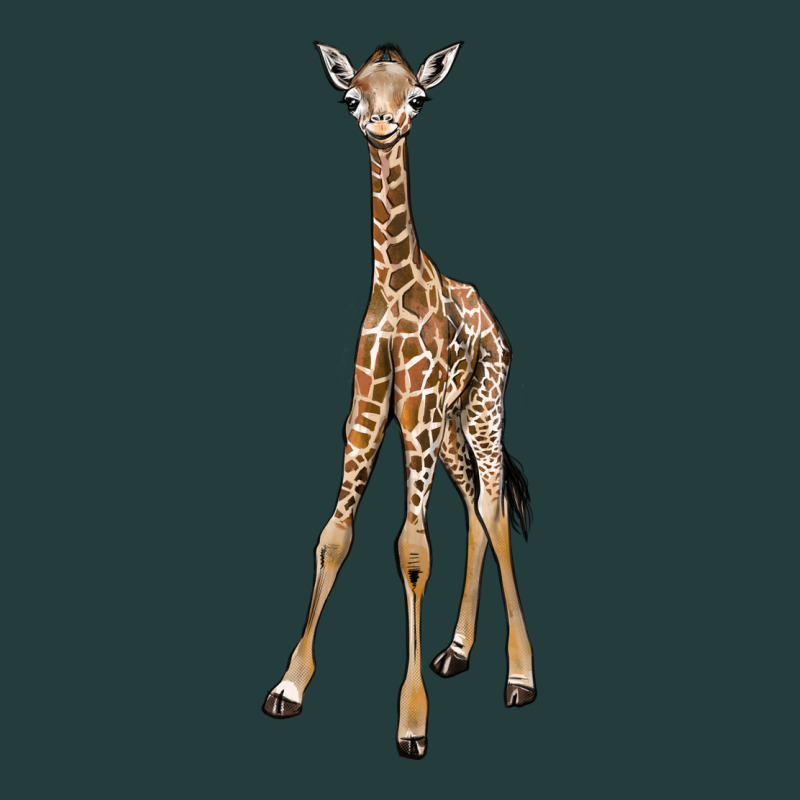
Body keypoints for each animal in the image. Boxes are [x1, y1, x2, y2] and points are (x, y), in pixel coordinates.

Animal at [263, 42, 536, 760]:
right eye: (351, 96)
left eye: (416, 96)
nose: (382, 127)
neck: (392, 288)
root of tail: (494, 322)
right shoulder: (365, 417)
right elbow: (333, 537)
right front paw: (289, 685)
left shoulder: (411, 419)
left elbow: (413, 551)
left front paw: (412, 722)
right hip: (448, 426)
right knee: (475, 509)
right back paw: (457, 651)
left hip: (482, 409)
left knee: (494, 506)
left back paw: (519, 676)